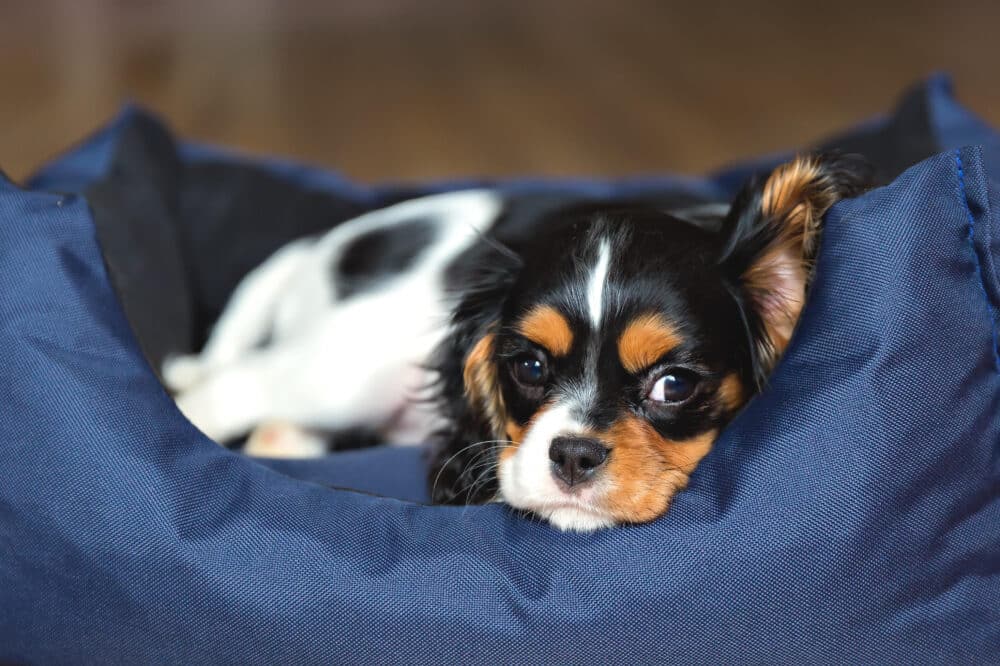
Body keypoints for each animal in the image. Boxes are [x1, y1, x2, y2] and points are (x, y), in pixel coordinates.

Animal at [164, 154, 868, 528]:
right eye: (528, 367)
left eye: (674, 384)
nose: (573, 456)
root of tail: (324, 247)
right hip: (339, 374)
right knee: (223, 392)